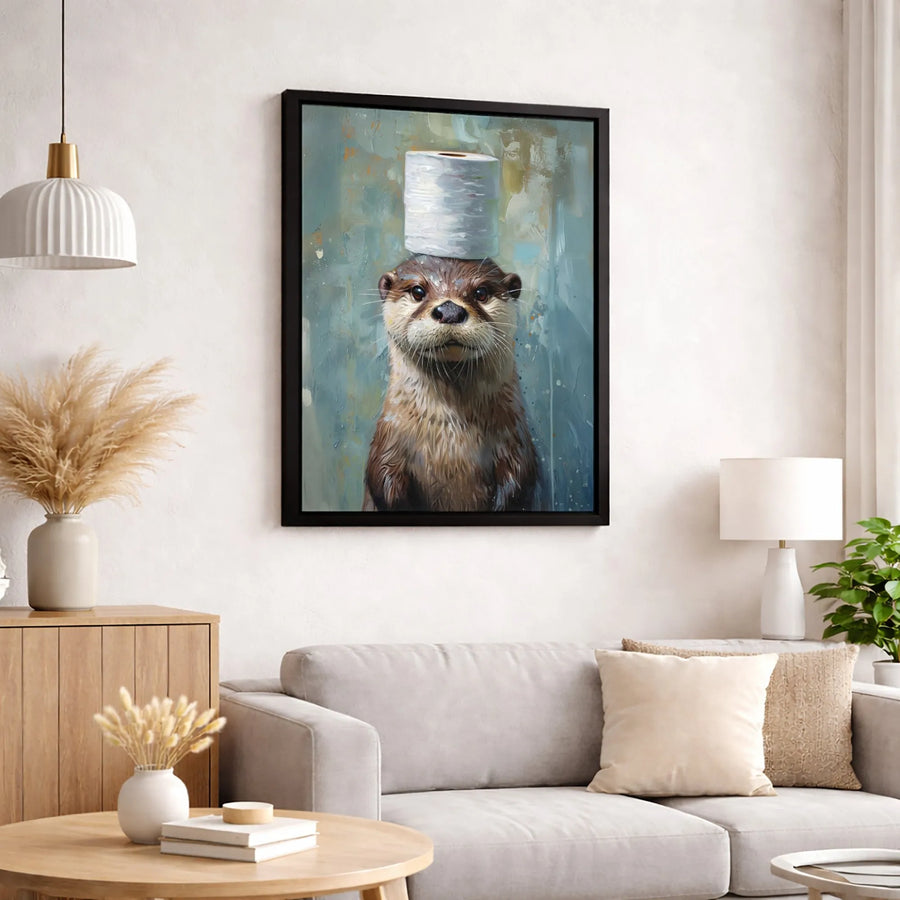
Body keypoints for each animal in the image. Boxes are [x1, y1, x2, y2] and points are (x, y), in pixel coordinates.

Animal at [364, 254, 539, 512]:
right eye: (418, 291)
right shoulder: (388, 442)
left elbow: (519, 481)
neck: (450, 433)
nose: (449, 310)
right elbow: (382, 480)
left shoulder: (515, 441)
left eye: (481, 292)